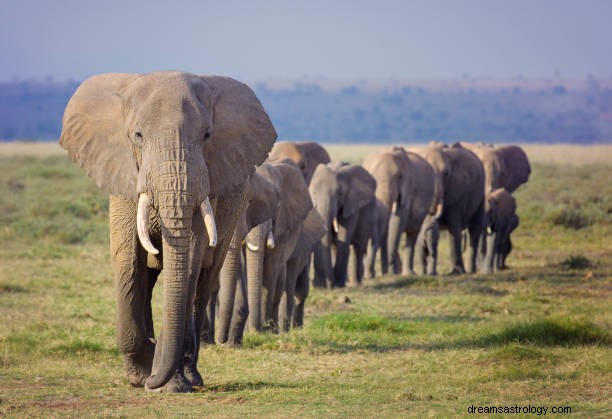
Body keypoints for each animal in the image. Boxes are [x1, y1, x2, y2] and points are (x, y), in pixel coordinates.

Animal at [59, 72, 274, 394]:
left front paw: (166, 381)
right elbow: (127, 258)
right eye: (138, 135)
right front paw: (141, 374)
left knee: (203, 283)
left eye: (207, 135)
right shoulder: (124, 175)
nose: (151, 381)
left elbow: (189, 260)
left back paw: (190, 376)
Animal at [244, 159, 314, 334]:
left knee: (280, 284)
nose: (255, 329)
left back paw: (274, 329)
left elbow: (270, 270)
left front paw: (262, 330)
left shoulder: (284, 225)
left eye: (277, 205)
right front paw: (252, 331)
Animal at [364, 149, 436, 278]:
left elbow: (399, 217)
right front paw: (385, 273)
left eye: (399, 177)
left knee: (412, 234)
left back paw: (408, 273)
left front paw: (392, 272)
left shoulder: (408, 187)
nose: (369, 275)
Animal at [412, 143, 488, 276]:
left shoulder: (458, 190)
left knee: (475, 229)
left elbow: (454, 226)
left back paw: (471, 271)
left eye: (446, 174)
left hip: (481, 194)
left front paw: (456, 272)